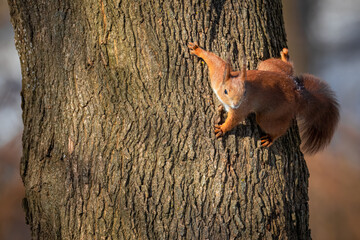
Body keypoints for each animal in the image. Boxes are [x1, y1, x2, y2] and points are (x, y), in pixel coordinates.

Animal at [190, 41, 338, 154]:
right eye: (226, 91)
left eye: (245, 93)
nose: (236, 104)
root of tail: (297, 93)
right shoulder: (218, 75)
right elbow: (215, 61)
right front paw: (197, 49)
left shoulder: (242, 108)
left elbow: (234, 120)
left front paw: (222, 129)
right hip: (269, 66)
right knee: (287, 67)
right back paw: (285, 56)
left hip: (270, 115)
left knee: (279, 128)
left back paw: (270, 138)